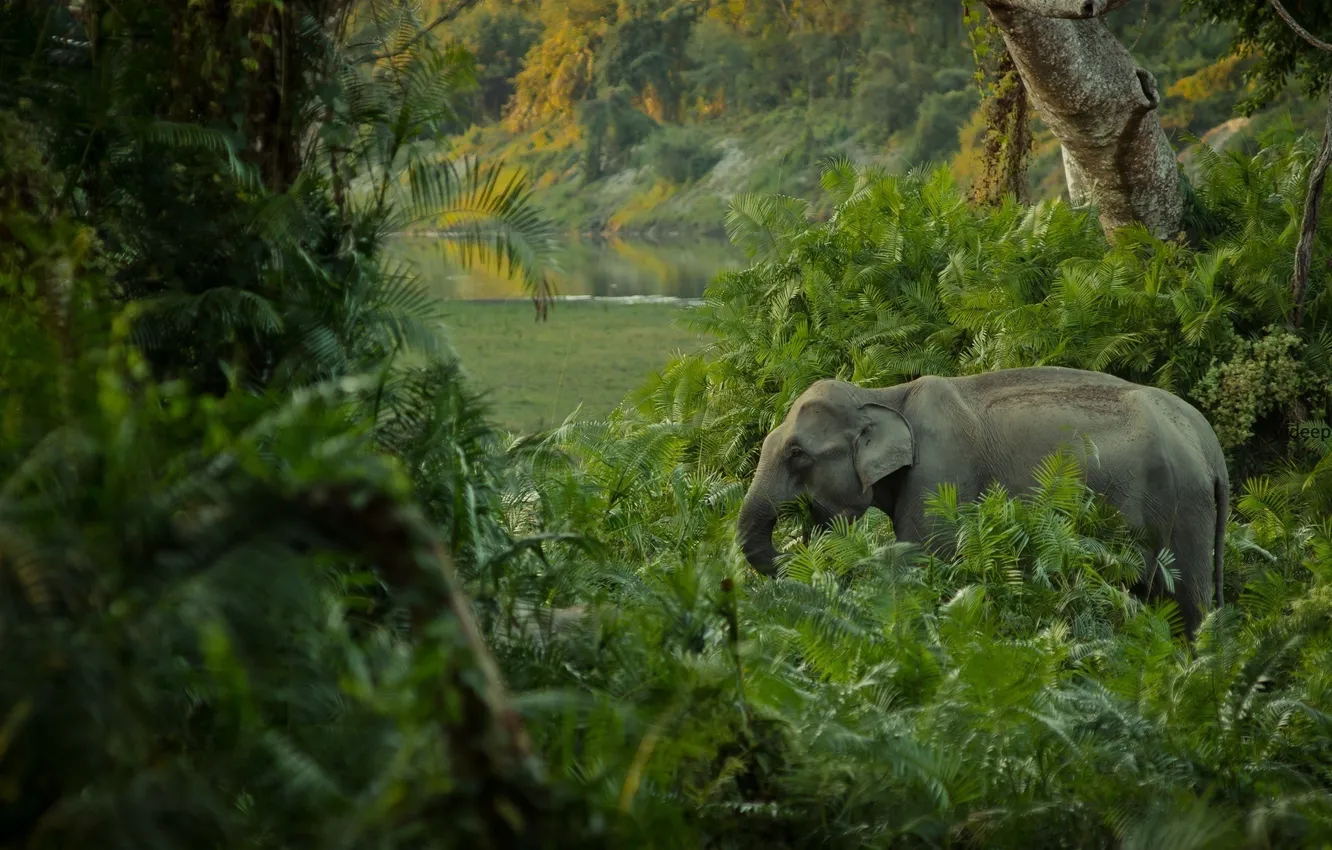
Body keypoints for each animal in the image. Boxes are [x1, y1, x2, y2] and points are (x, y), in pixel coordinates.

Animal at [736, 367, 1230, 639]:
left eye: (796, 454)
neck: (883, 394)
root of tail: (1210, 445)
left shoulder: (941, 475)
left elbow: (924, 562)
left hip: (1185, 509)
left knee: (1186, 606)